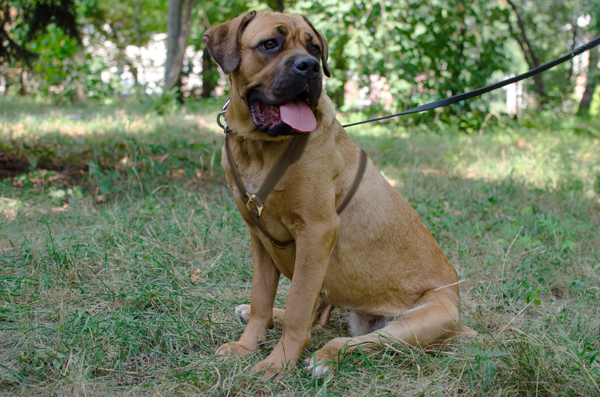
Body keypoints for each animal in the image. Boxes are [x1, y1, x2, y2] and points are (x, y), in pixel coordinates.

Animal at [202, 10, 468, 378]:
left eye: (315, 48)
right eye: (269, 44)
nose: (310, 66)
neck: (259, 147)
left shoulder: (317, 231)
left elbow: (298, 307)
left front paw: (278, 363)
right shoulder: (259, 237)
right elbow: (261, 300)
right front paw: (246, 346)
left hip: (412, 324)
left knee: (348, 338)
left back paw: (323, 359)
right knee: (316, 315)